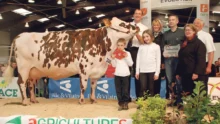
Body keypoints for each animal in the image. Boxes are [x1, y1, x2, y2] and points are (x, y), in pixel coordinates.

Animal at [3, 17, 138, 105]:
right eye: (122, 24)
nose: (136, 27)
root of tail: (19, 36)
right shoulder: (84, 68)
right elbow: (83, 86)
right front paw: (81, 101)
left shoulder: (96, 70)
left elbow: (93, 86)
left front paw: (93, 100)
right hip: (23, 68)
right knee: (21, 83)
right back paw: (25, 101)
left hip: (33, 71)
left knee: (30, 85)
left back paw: (34, 100)